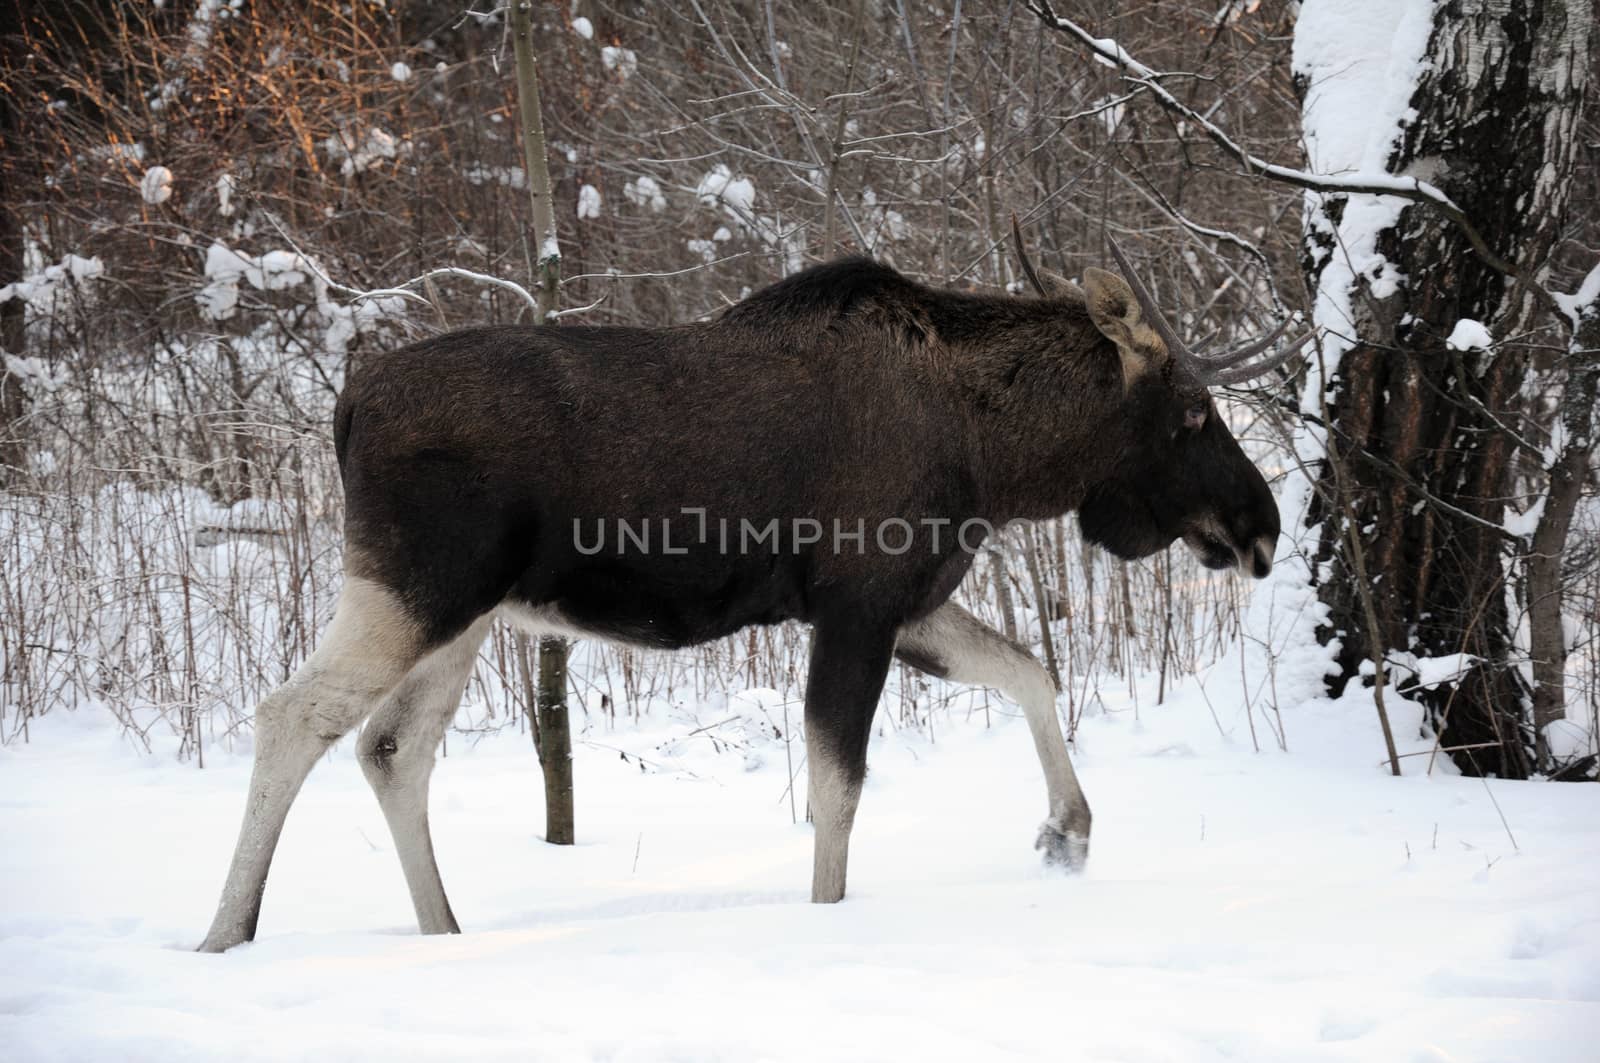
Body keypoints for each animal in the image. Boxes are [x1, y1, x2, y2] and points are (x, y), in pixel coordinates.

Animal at [196, 228, 1299, 947]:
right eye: (1193, 410)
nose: (1263, 525)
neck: (1001, 457)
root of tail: (346, 407)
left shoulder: (906, 600)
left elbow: (1030, 671)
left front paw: (1064, 831)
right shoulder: (861, 602)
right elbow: (838, 788)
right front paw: (827, 921)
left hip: (463, 615)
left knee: (392, 748)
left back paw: (442, 928)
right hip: (414, 589)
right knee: (293, 715)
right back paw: (226, 931)